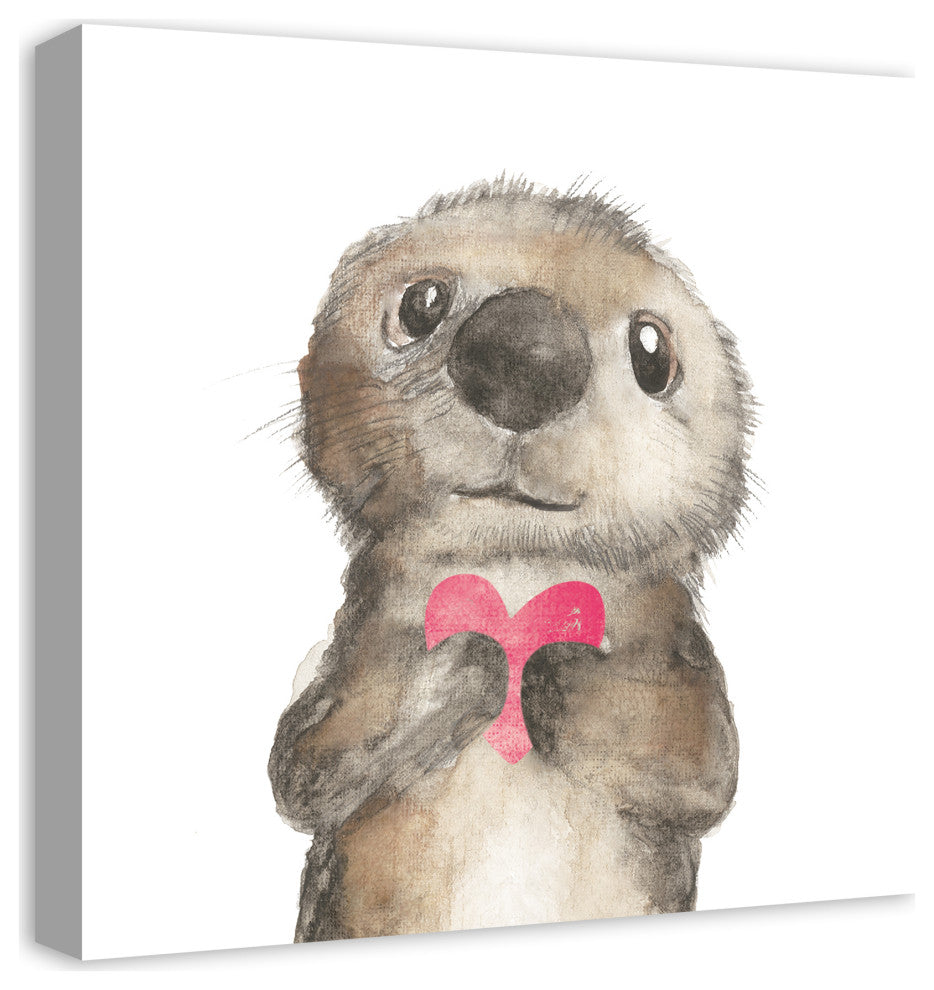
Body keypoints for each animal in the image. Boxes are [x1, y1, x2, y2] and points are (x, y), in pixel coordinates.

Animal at [268, 177, 754, 942]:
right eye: (421, 304)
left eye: (653, 352)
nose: (526, 353)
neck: (516, 573)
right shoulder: (352, 651)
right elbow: (302, 766)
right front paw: (477, 657)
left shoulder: (682, 656)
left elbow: (704, 765)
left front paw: (552, 666)